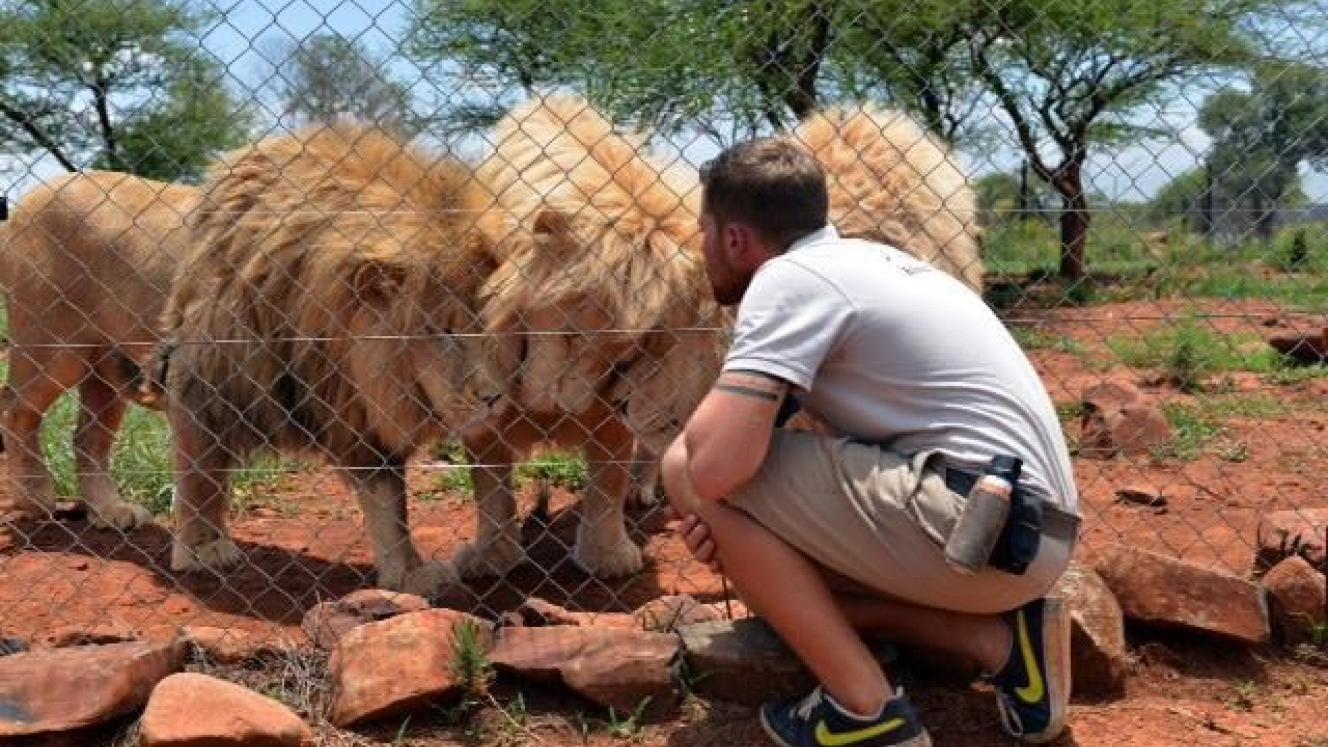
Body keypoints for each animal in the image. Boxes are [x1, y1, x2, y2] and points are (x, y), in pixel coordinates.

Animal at [0, 172, 198, 529]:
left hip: (103, 367)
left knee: (87, 438)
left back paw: (110, 510)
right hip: (55, 347)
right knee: (14, 406)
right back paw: (34, 496)